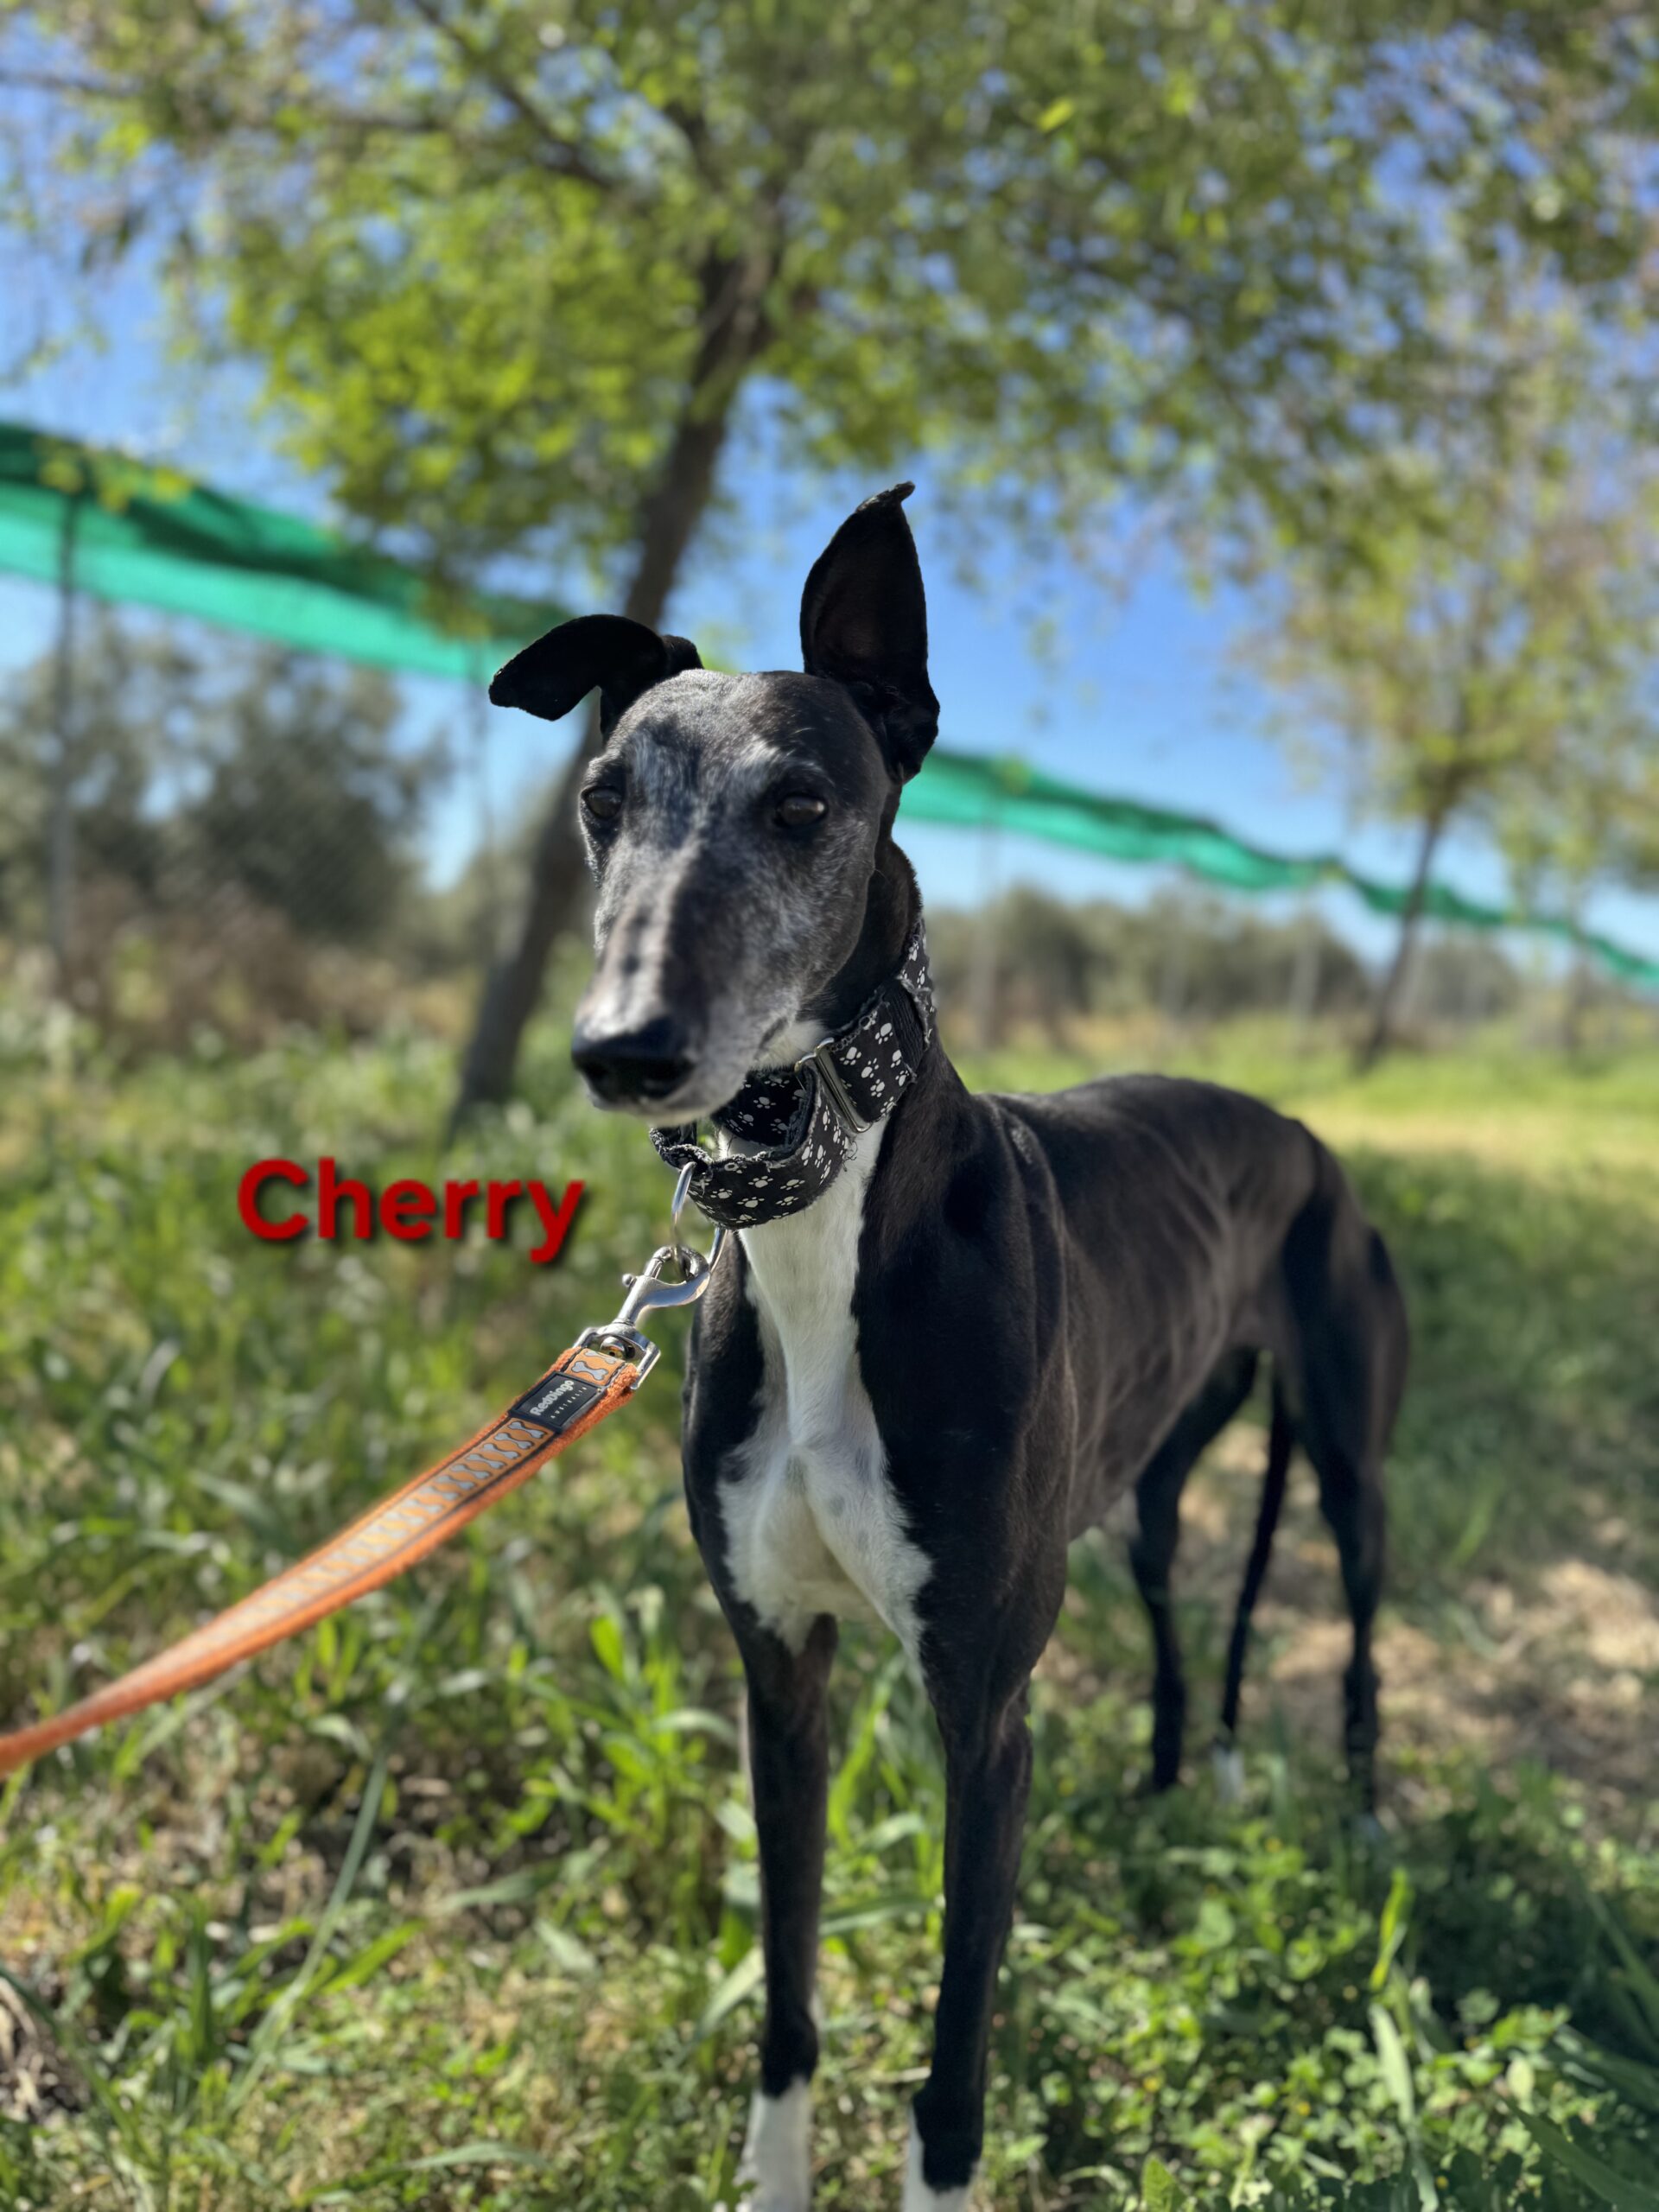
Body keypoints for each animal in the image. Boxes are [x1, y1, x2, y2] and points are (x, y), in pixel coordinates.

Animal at [488, 485, 1409, 2211]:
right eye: (600, 801)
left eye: (801, 805)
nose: (624, 1050)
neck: (822, 1235)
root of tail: (1309, 1136)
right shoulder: (780, 1670)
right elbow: (786, 1985)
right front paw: (776, 2175)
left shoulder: (984, 1725)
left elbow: (953, 2064)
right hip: (1154, 1484)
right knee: (1179, 1616)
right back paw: (1173, 1784)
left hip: (1346, 1456)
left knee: (1367, 1636)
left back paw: (1370, 1815)